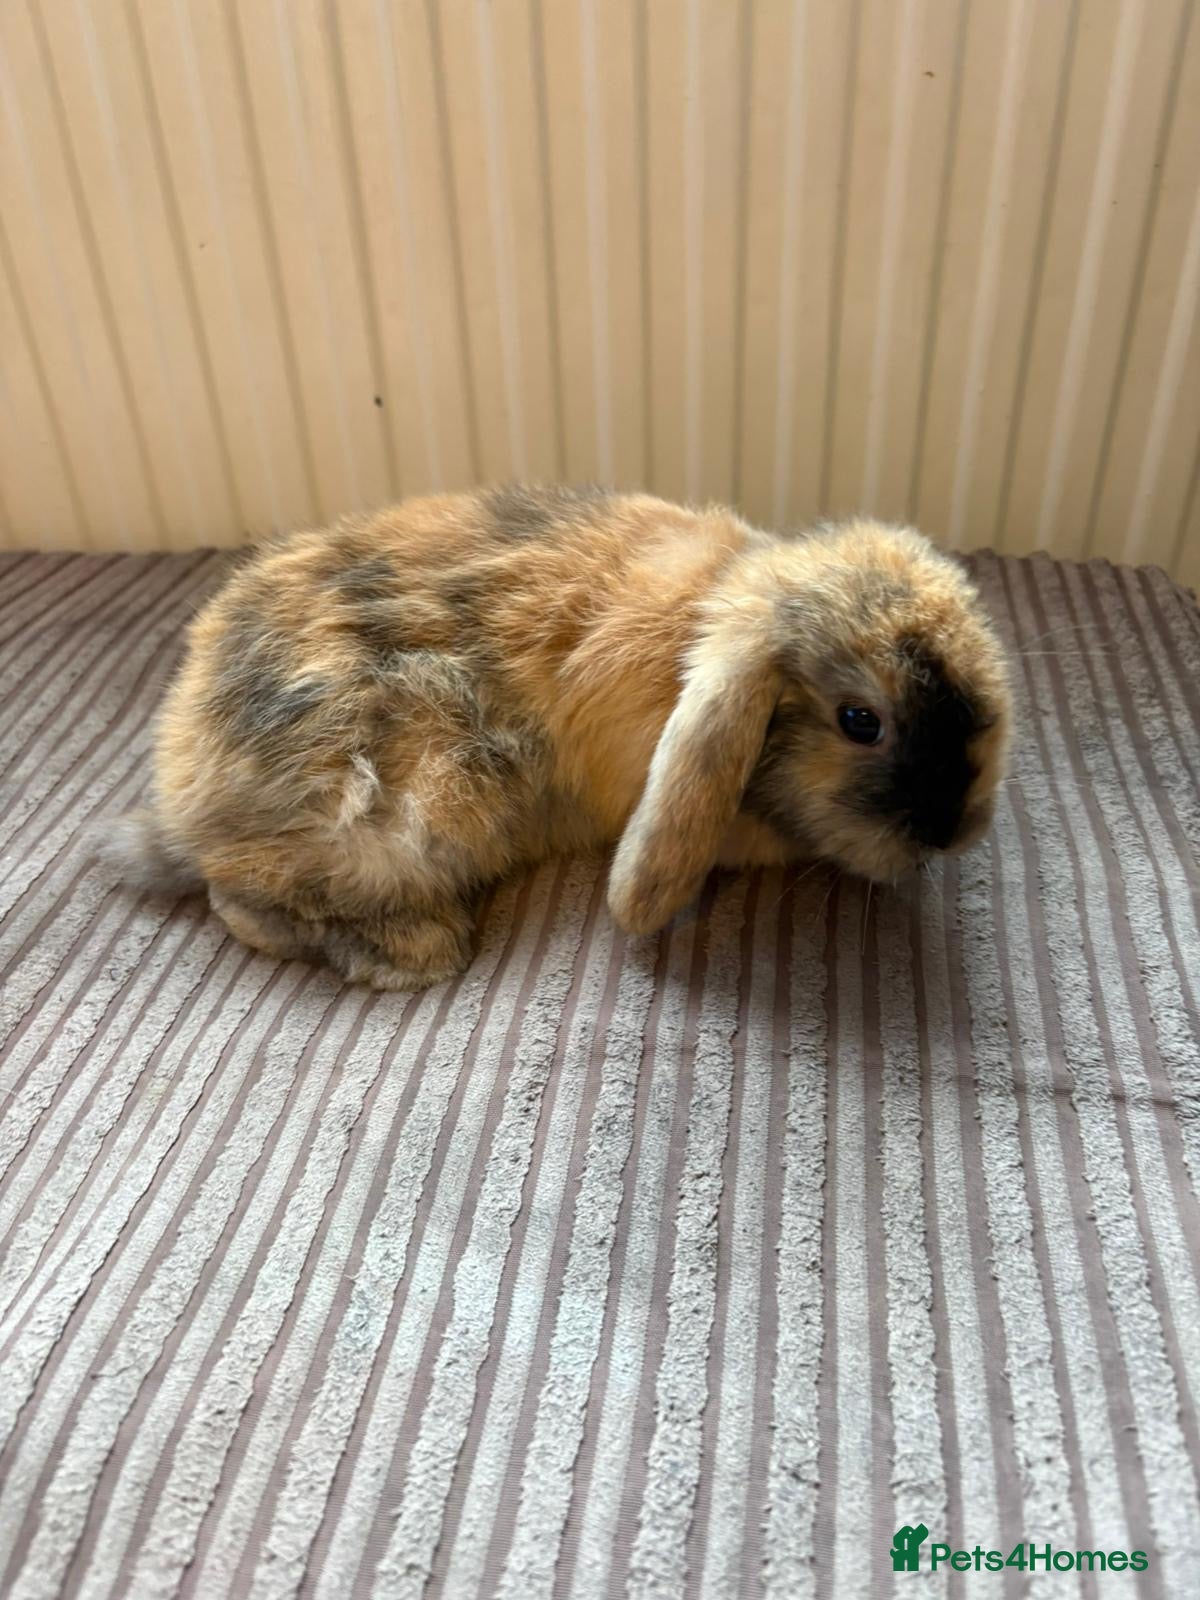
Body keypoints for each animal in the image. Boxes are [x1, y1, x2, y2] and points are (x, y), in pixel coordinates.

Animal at [101, 485, 1011, 990]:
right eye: (861, 721)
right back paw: (411, 954)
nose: (949, 831)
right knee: (239, 894)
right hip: (408, 815)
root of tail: (182, 803)